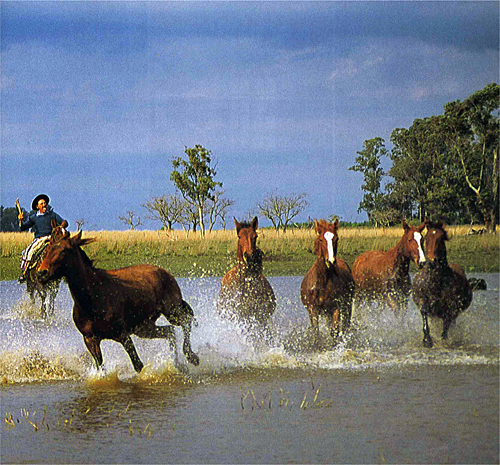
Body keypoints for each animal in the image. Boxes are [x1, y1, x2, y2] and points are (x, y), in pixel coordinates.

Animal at [36, 227, 199, 372]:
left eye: (65, 250)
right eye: (47, 249)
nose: (41, 273)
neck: (92, 299)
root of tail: (165, 272)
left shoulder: (122, 335)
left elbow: (138, 365)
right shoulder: (90, 339)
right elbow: (101, 367)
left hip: (172, 311)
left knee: (186, 322)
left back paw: (192, 357)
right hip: (144, 327)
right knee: (170, 332)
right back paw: (178, 365)